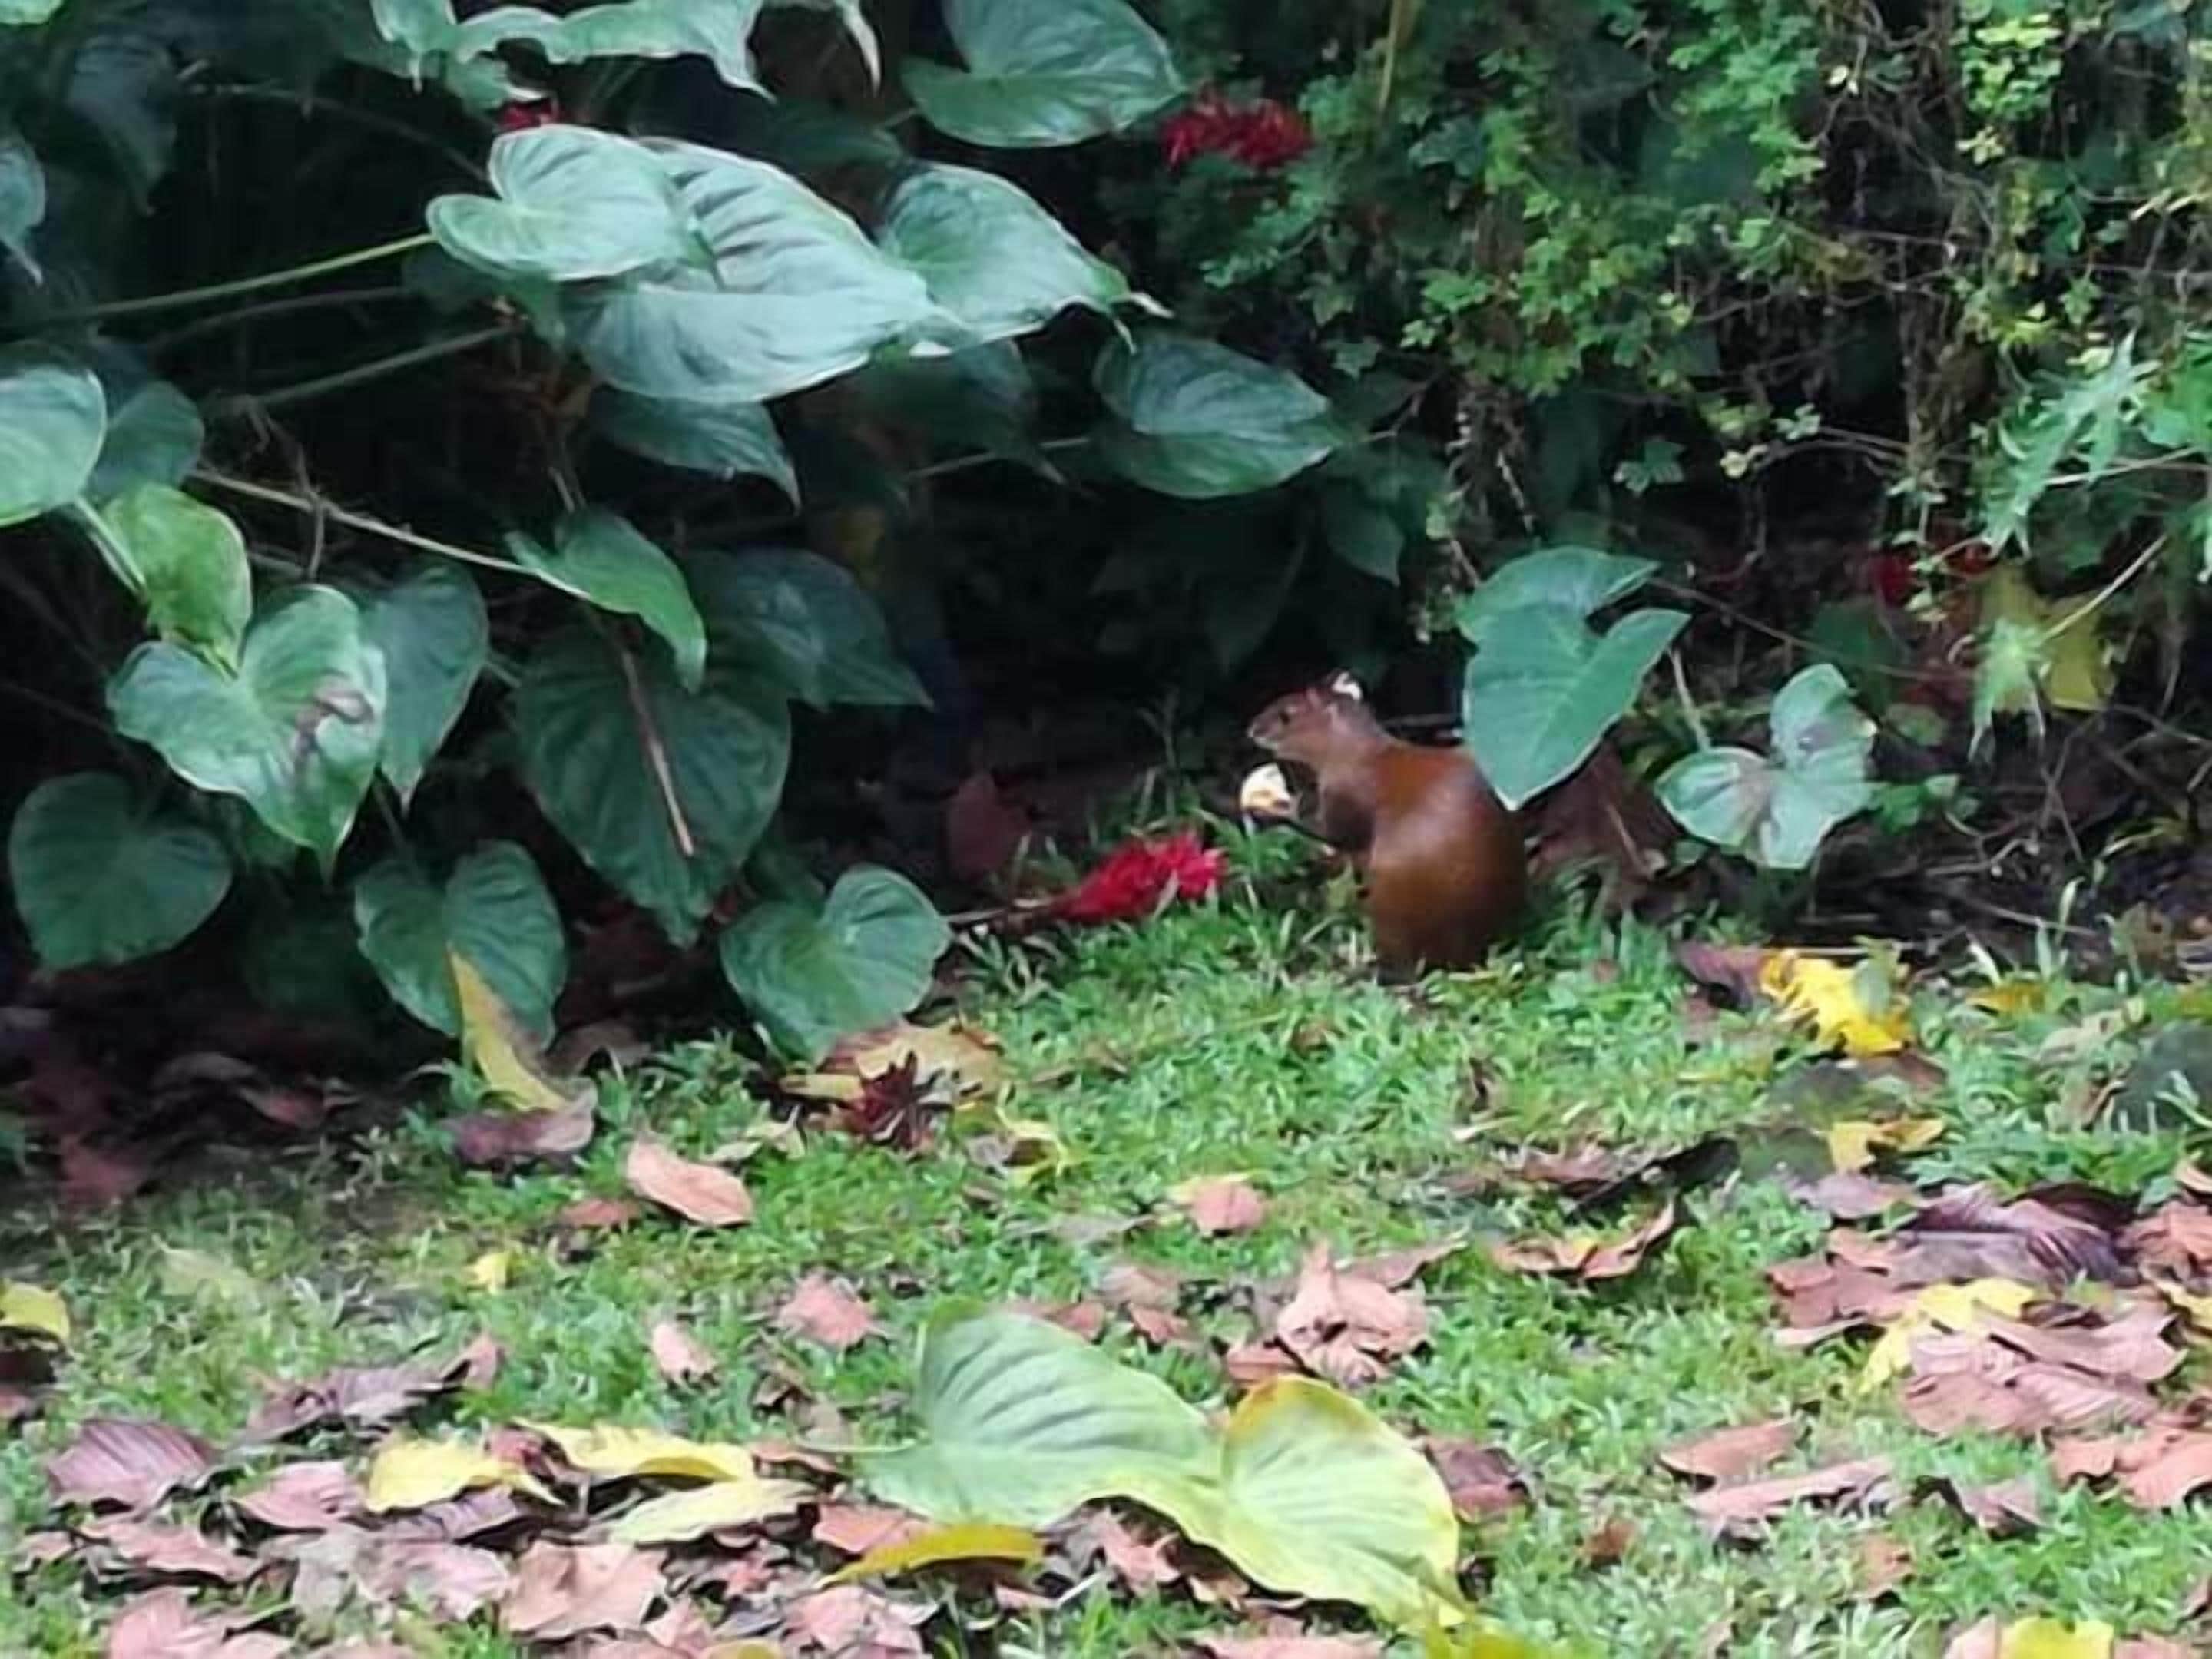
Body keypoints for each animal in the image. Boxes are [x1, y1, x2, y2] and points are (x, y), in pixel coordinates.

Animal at [1244, 672, 1526, 978]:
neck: (1356, 750)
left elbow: (1330, 832)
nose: (1251, 730)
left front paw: (1276, 808)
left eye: (1287, 716)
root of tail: (1472, 957)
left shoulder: (1344, 802)